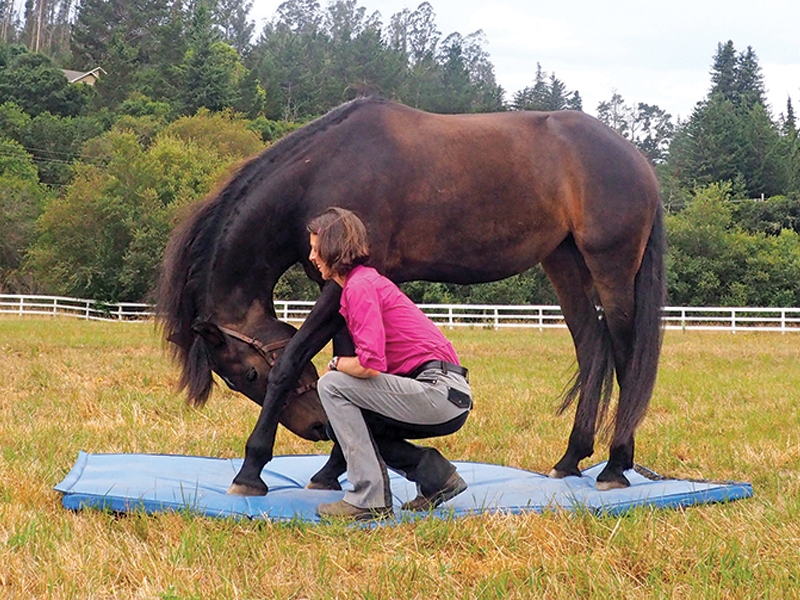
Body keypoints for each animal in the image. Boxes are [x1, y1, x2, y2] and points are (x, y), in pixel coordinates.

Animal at [158, 97, 665, 497]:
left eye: (247, 375)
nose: (317, 429)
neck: (320, 171)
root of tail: (636, 159)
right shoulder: (338, 290)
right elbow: (347, 364)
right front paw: (332, 470)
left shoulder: (337, 288)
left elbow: (291, 362)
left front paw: (251, 469)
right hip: (564, 263)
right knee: (592, 348)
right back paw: (572, 459)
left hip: (611, 267)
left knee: (625, 354)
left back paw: (616, 466)